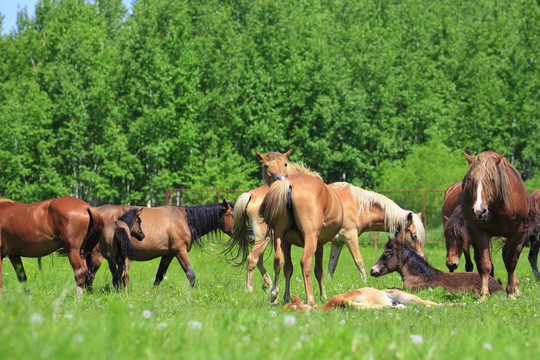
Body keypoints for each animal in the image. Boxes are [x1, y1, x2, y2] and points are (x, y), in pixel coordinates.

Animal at [87, 200, 233, 290]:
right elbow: (190, 274)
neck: (185, 220)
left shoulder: (168, 255)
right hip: (98, 257)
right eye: (233, 214)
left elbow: (159, 275)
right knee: (90, 276)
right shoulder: (180, 251)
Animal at [260, 173, 344, 306]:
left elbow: (288, 268)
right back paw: (310, 300)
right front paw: (323, 296)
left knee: (278, 260)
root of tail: (289, 184)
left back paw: (274, 295)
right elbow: (319, 270)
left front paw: (286, 296)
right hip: (310, 238)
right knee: (305, 262)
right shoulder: (319, 244)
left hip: (279, 236)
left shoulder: (287, 242)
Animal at [458, 150, 528, 300]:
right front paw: (484, 294)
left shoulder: (516, 232)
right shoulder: (480, 232)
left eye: (491, 179)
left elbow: (510, 262)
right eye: (471, 179)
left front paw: (511, 293)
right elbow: (485, 264)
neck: (498, 207)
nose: (479, 211)